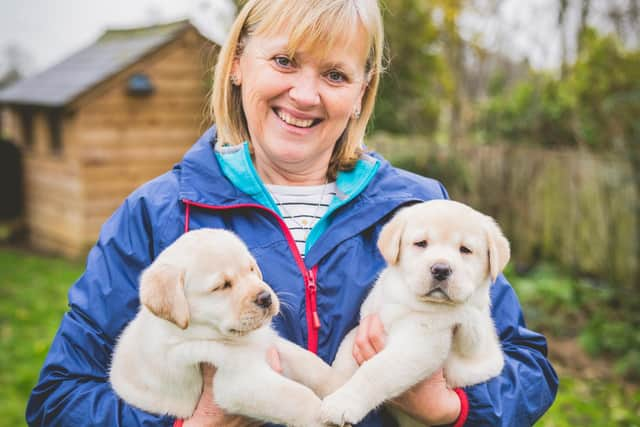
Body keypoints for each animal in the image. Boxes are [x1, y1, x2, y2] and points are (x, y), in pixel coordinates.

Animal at [110, 229, 330, 427]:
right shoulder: (238, 380)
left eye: (251, 269)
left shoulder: (269, 344)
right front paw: (324, 417)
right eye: (222, 286)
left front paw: (336, 387)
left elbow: (311, 364)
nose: (266, 297)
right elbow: (298, 397)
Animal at [320, 201, 510, 427]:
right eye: (421, 243)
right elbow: (342, 363)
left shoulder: (420, 343)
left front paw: (342, 403)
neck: (408, 299)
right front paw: (332, 389)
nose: (441, 269)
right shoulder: (361, 328)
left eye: (465, 250)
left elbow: (374, 371)